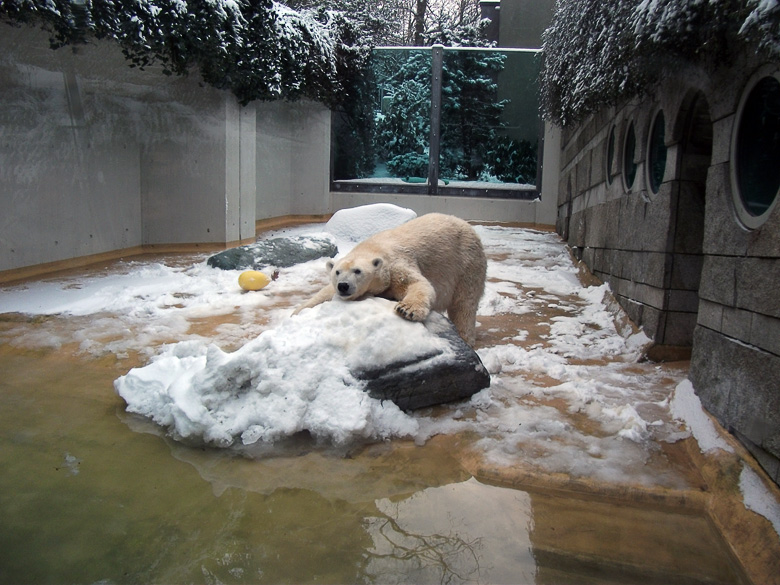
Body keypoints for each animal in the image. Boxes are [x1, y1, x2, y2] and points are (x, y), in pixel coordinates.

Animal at [292, 212, 488, 344]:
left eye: (358, 271)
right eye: (337, 272)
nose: (343, 286)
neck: (373, 248)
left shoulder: (396, 265)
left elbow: (417, 283)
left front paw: (406, 310)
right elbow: (323, 293)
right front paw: (296, 313)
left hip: (467, 263)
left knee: (464, 305)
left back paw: (465, 337)